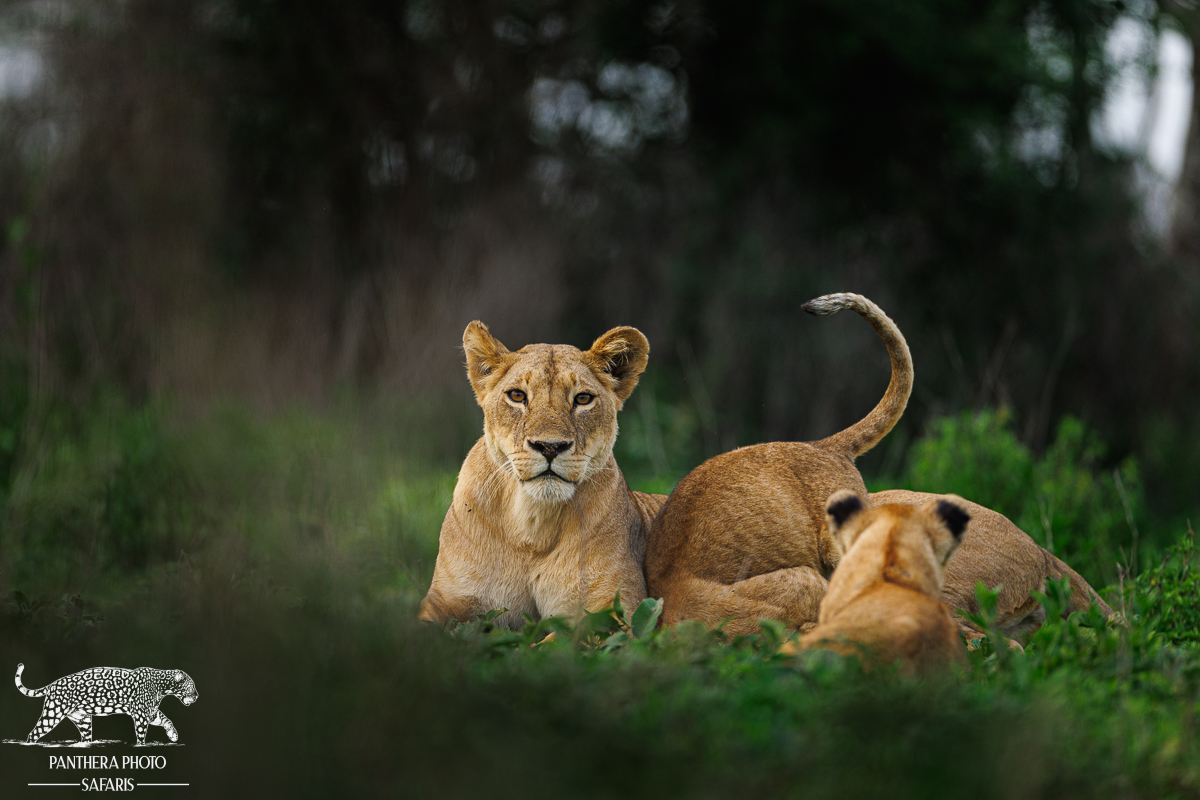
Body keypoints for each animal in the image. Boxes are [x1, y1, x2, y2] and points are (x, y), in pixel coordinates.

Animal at [418, 322, 666, 629]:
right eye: (517, 395)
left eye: (583, 398)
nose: (550, 446)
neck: (532, 523)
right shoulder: (443, 600)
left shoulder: (621, 614)